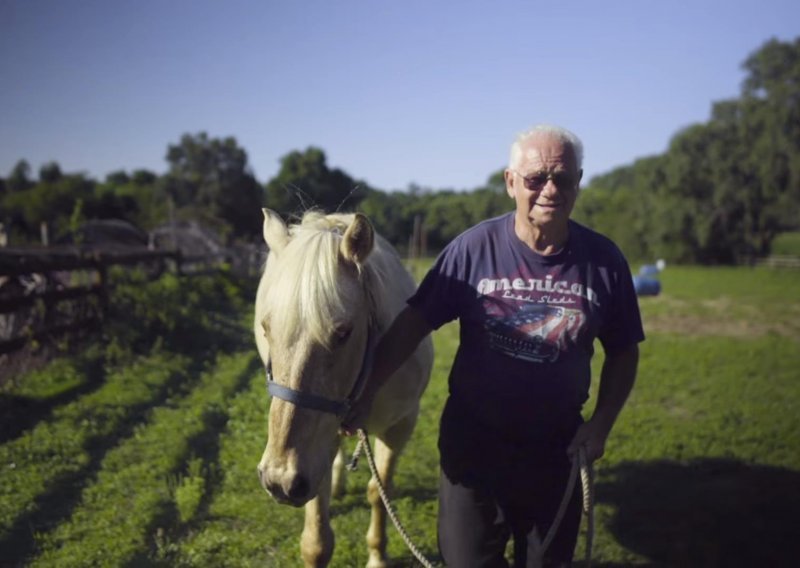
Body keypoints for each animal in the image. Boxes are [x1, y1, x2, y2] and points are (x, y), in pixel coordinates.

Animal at [255, 210, 432, 568]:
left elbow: (379, 492)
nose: (278, 480)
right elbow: (316, 543)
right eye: (266, 328)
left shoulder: (401, 425)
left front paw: (377, 555)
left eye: (343, 333)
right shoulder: (310, 456)